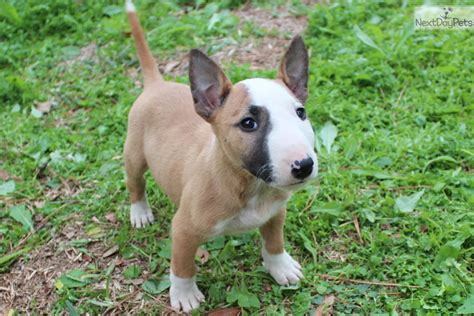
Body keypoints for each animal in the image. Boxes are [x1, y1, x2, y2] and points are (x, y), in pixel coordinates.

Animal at [124, 0, 318, 312]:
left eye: (300, 112)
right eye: (248, 123)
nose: (304, 166)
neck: (251, 185)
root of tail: (157, 84)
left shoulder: (276, 212)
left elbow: (274, 242)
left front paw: (281, 267)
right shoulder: (184, 229)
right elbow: (183, 266)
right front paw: (185, 295)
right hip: (134, 155)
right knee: (135, 183)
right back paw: (140, 212)